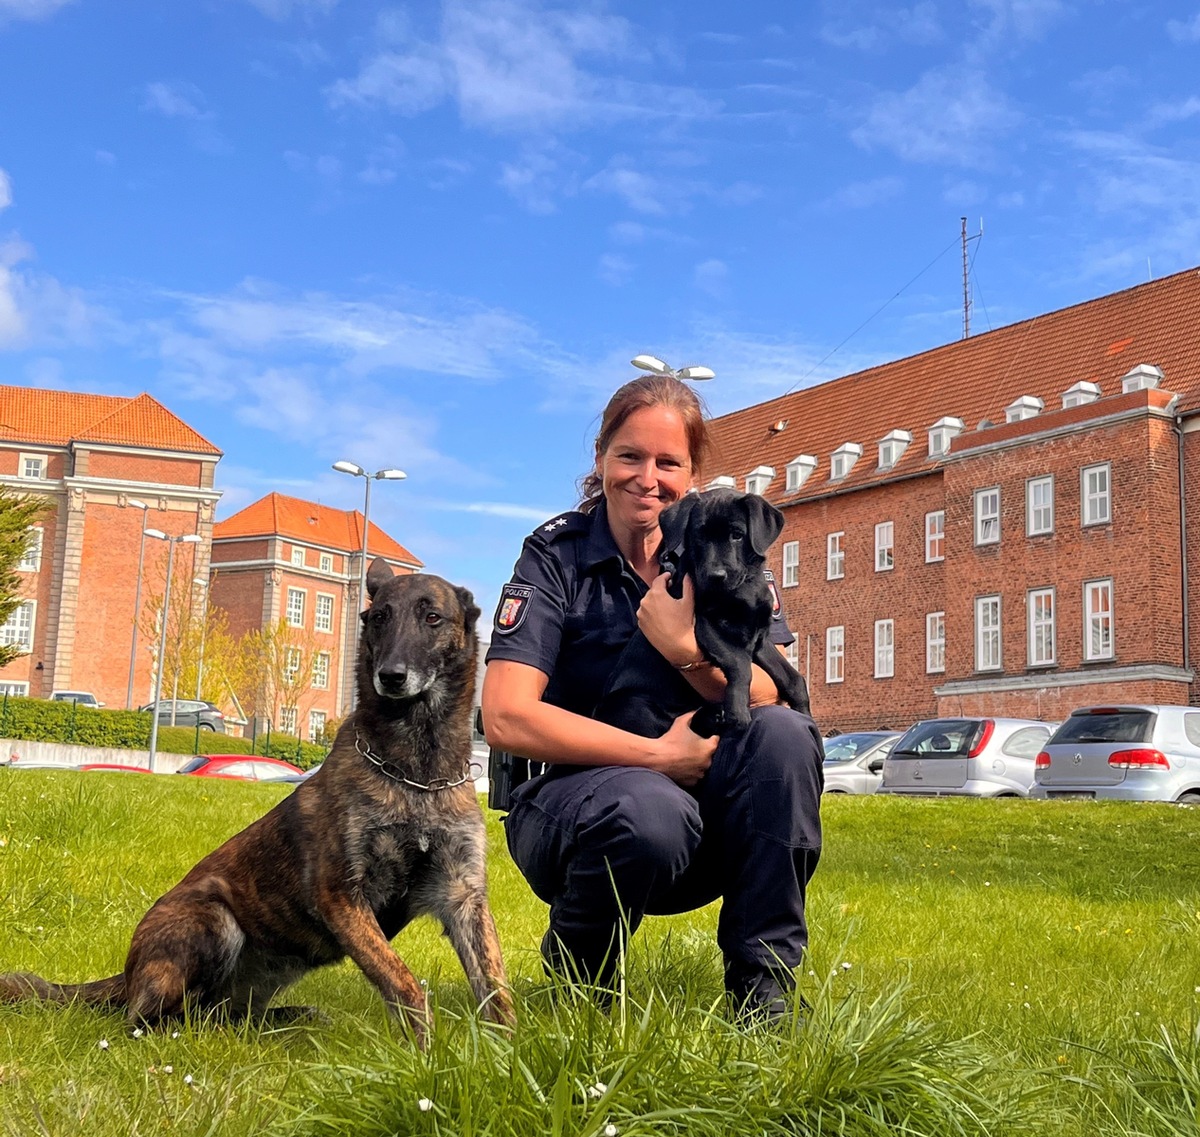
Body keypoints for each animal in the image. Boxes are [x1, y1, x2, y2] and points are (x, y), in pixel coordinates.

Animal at [0, 558, 511, 1045]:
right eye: (379, 617)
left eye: (432, 617)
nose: (390, 676)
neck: (416, 774)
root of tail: (126, 975)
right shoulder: (342, 895)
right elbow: (402, 982)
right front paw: (426, 1053)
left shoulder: (463, 895)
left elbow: (495, 986)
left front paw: (506, 1054)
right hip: (212, 920)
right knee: (149, 1019)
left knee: (225, 1015)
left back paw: (287, 1019)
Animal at [592, 486, 811, 738]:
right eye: (699, 535)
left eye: (737, 535)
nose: (715, 576)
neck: (744, 586)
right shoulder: (705, 625)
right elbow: (740, 664)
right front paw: (738, 712)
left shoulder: (760, 637)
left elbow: (792, 677)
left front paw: (806, 714)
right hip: (634, 705)